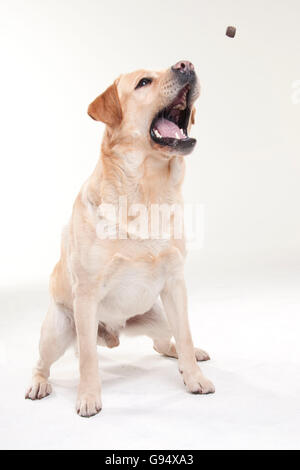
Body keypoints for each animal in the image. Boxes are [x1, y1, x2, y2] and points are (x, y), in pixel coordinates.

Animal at [25, 60, 213, 416]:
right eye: (144, 82)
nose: (186, 64)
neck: (149, 192)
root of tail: (113, 333)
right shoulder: (86, 295)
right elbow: (87, 358)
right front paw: (88, 396)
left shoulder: (175, 284)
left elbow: (185, 335)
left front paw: (194, 377)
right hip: (57, 329)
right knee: (44, 361)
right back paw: (39, 384)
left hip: (159, 315)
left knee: (166, 342)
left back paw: (192, 357)